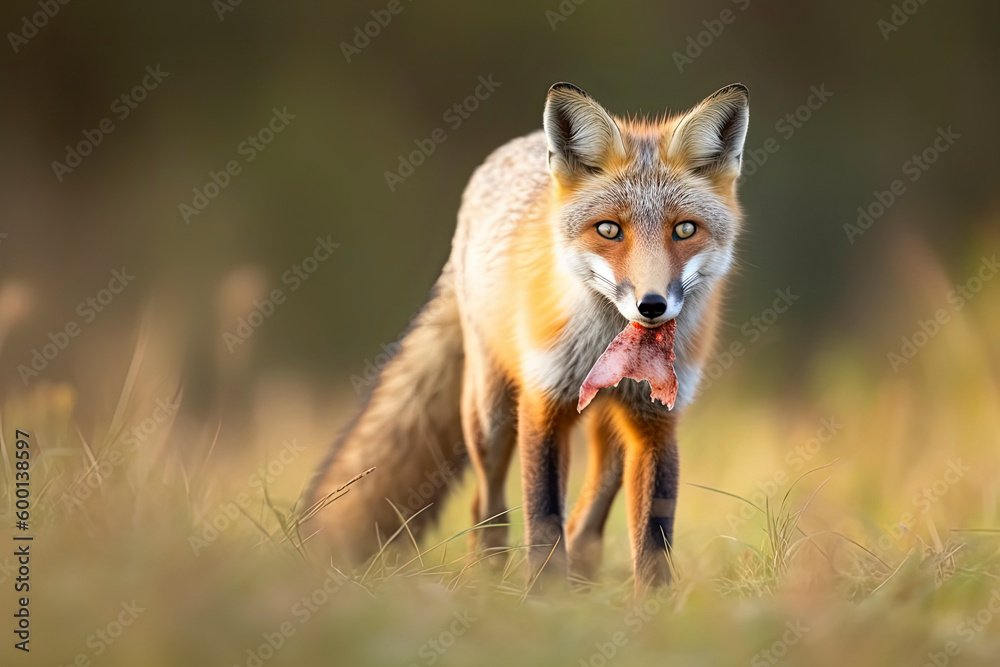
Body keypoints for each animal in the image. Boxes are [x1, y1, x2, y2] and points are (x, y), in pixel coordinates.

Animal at [305, 82, 749, 594]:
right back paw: (489, 579)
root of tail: (515, 146)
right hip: (490, 416)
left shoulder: (656, 421)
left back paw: (581, 576)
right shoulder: (543, 400)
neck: (601, 344)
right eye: (609, 229)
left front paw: (652, 606)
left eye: (684, 229)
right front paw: (544, 598)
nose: (652, 305)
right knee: (487, 506)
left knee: (592, 505)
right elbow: (543, 517)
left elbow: (653, 536)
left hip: (612, 425)